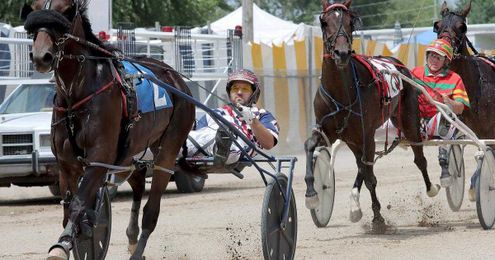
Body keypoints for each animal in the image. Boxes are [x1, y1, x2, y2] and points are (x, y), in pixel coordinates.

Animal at [22, 1, 196, 258]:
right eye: (34, 8)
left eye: (66, 10)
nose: (41, 56)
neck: (76, 94)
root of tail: (174, 77)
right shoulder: (66, 164)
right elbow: (70, 208)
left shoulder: (99, 158)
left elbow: (79, 204)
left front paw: (62, 246)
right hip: (130, 153)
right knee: (138, 181)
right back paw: (132, 236)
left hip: (167, 149)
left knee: (151, 209)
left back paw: (137, 248)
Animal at [304, 0, 440, 226]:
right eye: (324, 22)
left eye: (350, 22)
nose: (342, 53)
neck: (342, 92)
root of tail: (396, 62)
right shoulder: (327, 130)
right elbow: (310, 146)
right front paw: (312, 195)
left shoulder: (365, 133)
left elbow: (369, 176)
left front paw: (377, 216)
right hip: (354, 138)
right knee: (362, 165)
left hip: (407, 120)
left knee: (418, 158)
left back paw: (431, 189)